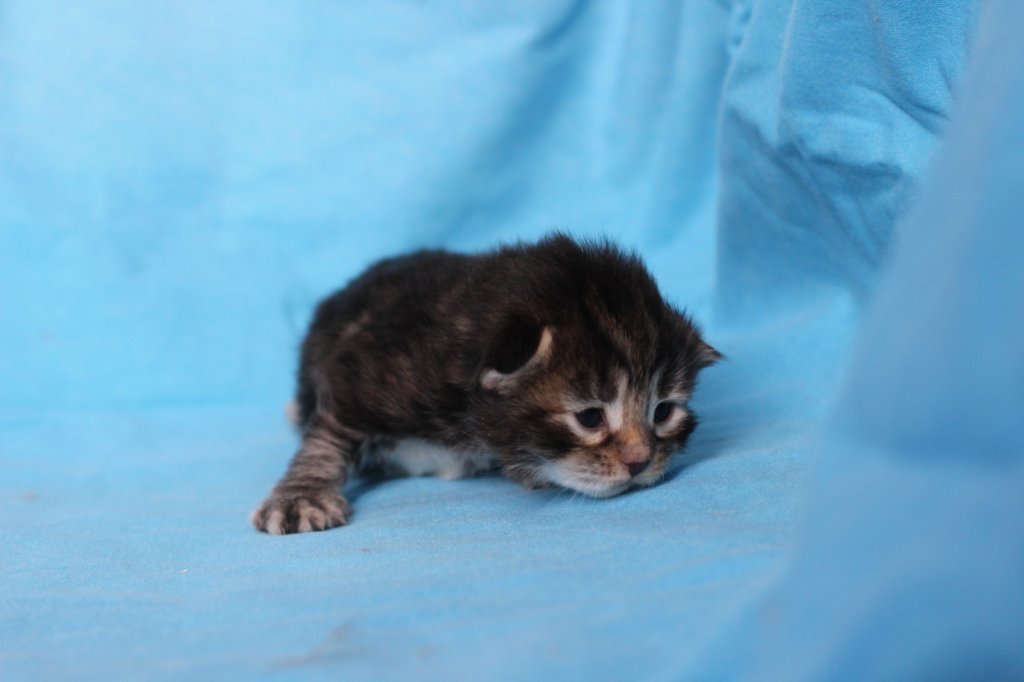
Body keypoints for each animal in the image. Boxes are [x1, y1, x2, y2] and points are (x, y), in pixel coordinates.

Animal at [251, 234, 720, 534]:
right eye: (589, 417)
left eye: (663, 411)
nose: (641, 463)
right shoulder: (359, 372)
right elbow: (328, 437)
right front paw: (300, 497)